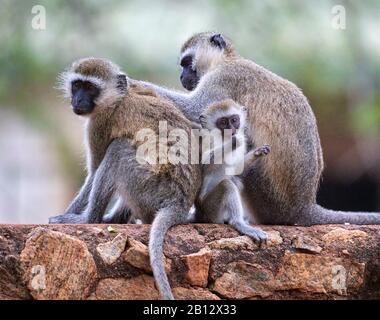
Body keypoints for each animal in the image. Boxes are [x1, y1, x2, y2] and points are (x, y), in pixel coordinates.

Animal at [49, 57, 203, 300]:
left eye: (90, 88)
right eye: (77, 85)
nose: (78, 100)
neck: (116, 99)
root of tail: (180, 203)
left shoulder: (100, 123)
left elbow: (94, 172)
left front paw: (70, 214)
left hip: (150, 189)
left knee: (118, 148)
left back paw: (91, 218)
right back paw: (115, 219)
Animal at [134, 31, 380, 225]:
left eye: (186, 63)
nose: (181, 76)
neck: (226, 60)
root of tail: (304, 206)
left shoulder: (224, 78)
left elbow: (196, 109)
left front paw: (137, 85)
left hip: (267, 196)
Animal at [193, 100, 270, 242]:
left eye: (234, 120)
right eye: (223, 122)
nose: (232, 130)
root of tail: (200, 213)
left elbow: (237, 170)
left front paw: (258, 153)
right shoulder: (207, 139)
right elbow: (205, 164)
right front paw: (233, 143)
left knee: (234, 180)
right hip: (211, 209)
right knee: (227, 185)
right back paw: (238, 223)